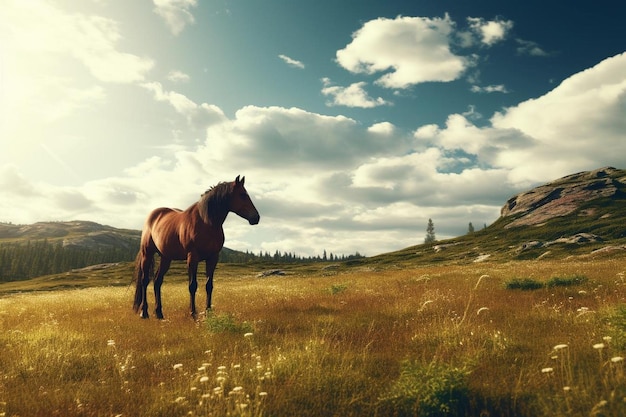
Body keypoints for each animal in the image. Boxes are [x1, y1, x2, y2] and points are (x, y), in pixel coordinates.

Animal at [132, 176, 258, 318]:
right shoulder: (193, 257)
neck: (206, 222)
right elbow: (192, 285)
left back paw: (159, 313)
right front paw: (193, 313)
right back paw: (144, 312)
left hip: (166, 258)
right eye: (242, 195)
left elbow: (209, 285)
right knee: (144, 281)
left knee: (157, 281)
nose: (256, 217)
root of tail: (153, 215)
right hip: (147, 253)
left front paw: (208, 311)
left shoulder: (213, 258)